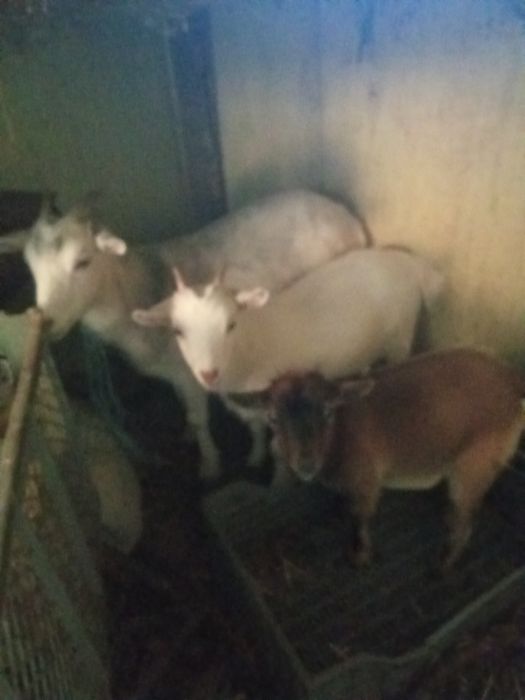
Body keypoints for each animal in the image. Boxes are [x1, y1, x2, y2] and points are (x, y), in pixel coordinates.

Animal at [0, 190, 368, 479]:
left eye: (83, 261)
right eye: (30, 268)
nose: (45, 322)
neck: (140, 291)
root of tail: (342, 212)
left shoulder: (190, 374)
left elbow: (199, 417)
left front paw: (209, 464)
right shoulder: (174, 374)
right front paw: (189, 436)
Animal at [132, 248, 444, 470]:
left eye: (231, 324)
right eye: (177, 330)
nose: (208, 374)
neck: (248, 347)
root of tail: (411, 264)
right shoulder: (254, 404)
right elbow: (256, 431)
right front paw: (255, 457)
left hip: (400, 339)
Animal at [264, 349, 525, 569]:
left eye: (328, 411)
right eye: (273, 419)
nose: (306, 464)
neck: (341, 434)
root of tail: (512, 380)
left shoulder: (366, 483)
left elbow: (359, 520)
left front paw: (360, 556)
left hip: (475, 464)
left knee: (467, 517)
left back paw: (445, 562)